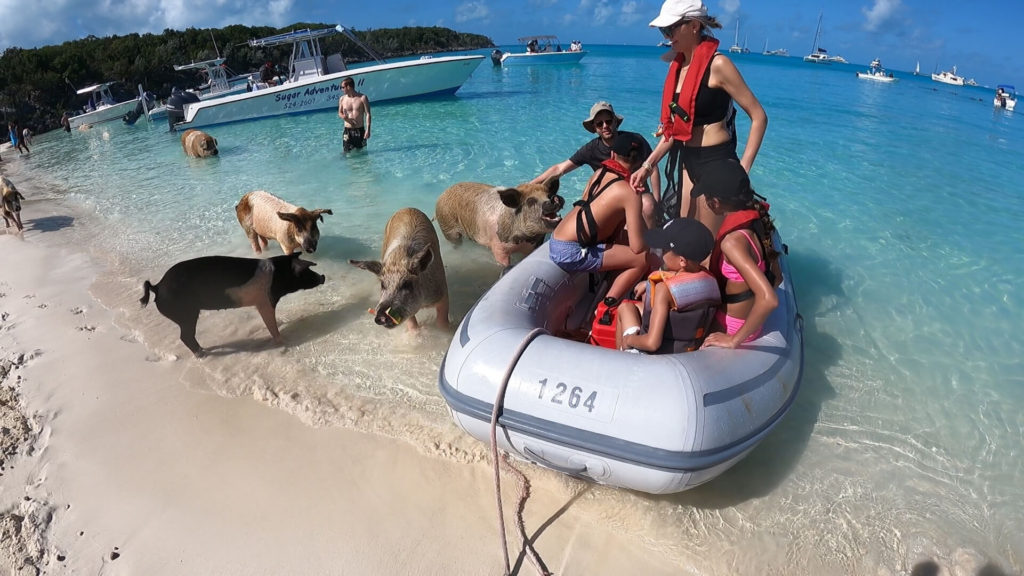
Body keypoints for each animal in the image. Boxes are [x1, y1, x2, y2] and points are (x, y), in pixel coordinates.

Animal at [139, 253, 323, 356]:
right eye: (306, 271)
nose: (322, 276)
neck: (276, 275)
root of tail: (157, 286)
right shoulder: (264, 301)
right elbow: (271, 325)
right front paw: (284, 341)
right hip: (187, 314)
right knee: (185, 336)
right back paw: (202, 354)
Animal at [432, 176, 561, 268]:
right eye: (530, 201)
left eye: (548, 195)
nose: (553, 200)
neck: (524, 238)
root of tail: (442, 195)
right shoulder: (498, 246)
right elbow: (503, 262)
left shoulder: (533, 245)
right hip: (447, 225)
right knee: (455, 240)